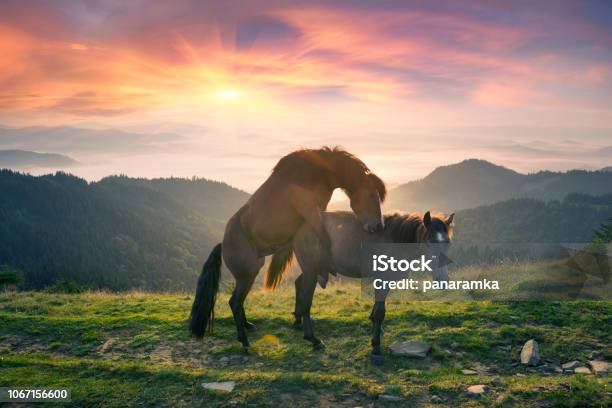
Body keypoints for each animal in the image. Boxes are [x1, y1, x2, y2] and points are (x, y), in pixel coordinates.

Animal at [189, 145, 384, 350]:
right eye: (372, 195)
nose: (378, 226)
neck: (316, 172)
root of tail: (223, 244)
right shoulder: (311, 211)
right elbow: (323, 237)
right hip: (247, 274)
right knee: (234, 302)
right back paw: (244, 340)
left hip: (250, 273)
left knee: (238, 301)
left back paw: (247, 325)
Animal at [284, 210, 452, 364]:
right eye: (429, 243)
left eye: (448, 243)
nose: (442, 280)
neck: (395, 239)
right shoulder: (383, 277)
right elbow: (380, 312)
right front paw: (376, 346)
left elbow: (378, 308)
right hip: (311, 270)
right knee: (306, 300)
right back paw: (313, 339)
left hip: (310, 270)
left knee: (298, 285)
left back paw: (298, 320)